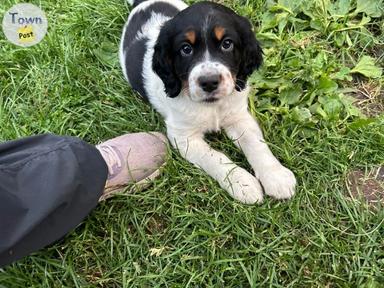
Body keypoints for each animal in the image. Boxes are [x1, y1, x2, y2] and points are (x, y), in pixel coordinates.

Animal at [120, 0, 296, 204]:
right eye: (185, 49)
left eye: (227, 44)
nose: (209, 82)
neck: (212, 106)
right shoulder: (183, 137)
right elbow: (214, 157)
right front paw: (243, 184)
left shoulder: (239, 117)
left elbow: (256, 144)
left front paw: (277, 177)